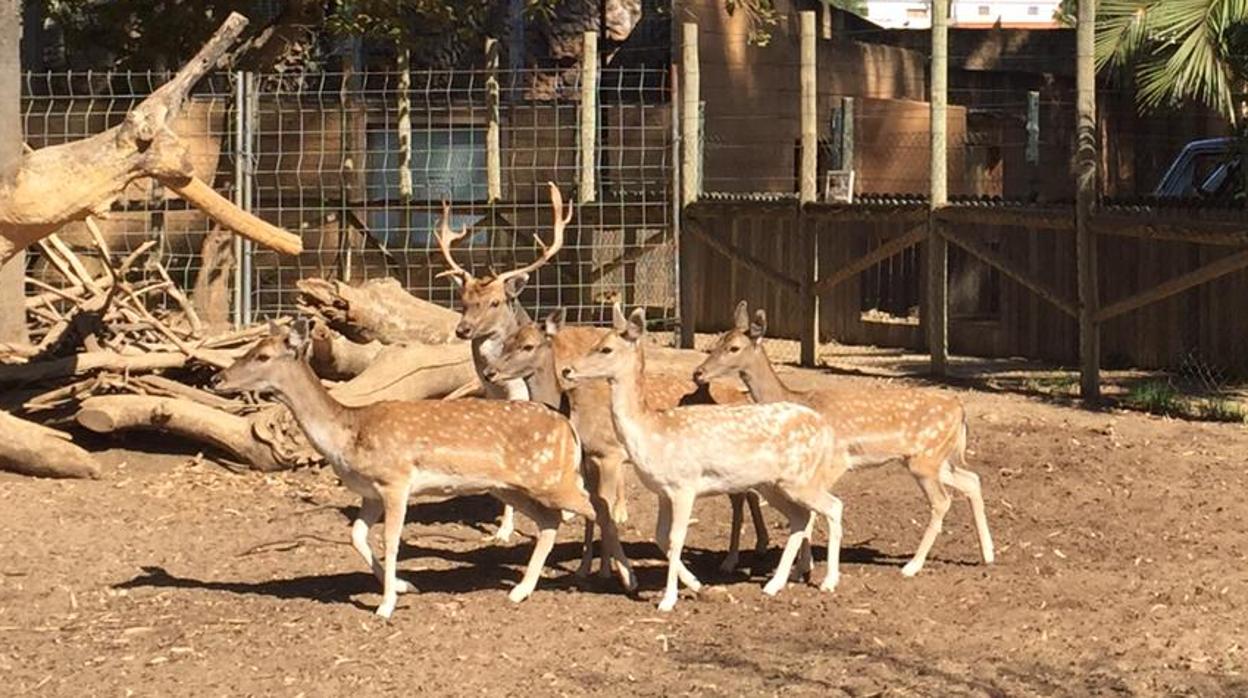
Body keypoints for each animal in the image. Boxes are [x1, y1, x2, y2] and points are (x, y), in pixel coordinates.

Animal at [208, 319, 628, 619]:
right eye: (250, 349)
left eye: (263, 356)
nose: (216, 378)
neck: (348, 435)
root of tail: (567, 427)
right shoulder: (369, 492)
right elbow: (356, 536)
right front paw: (404, 586)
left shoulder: (396, 481)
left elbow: (391, 540)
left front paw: (385, 606)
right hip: (513, 486)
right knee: (552, 521)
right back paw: (521, 590)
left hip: (551, 476)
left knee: (599, 507)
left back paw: (624, 576)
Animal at [479, 310, 763, 584]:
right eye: (506, 342)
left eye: (528, 346)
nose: (490, 372)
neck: (571, 411)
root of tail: (744, 397)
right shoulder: (587, 459)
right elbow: (592, 510)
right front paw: (584, 569)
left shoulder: (610, 455)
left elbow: (605, 508)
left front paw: (609, 571)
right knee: (747, 494)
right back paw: (755, 548)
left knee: (742, 497)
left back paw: (733, 560)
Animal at [564, 303, 848, 609]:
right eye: (595, 342)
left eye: (606, 348)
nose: (568, 369)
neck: (651, 433)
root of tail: (824, 427)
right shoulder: (663, 492)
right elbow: (660, 537)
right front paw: (698, 585)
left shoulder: (684, 486)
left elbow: (676, 538)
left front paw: (668, 600)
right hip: (773, 485)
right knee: (800, 517)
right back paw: (773, 585)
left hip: (800, 479)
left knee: (833, 506)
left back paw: (828, 582)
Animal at [693, 300, 993, 579]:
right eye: (718, 340)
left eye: (734, 348)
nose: (698, 372)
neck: (794, 399)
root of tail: (960, 409)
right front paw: (803, 568)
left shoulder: (832, 461)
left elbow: (812, 513)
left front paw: (802, 569)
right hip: (932, 459)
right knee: (971, 480)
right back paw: (988, 554)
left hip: (926, 459)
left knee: (942, 501)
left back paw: (912, 566)